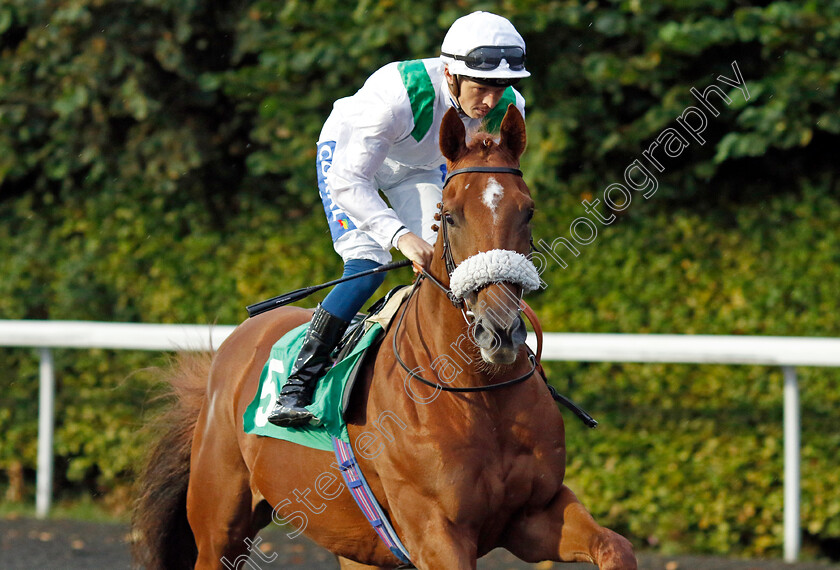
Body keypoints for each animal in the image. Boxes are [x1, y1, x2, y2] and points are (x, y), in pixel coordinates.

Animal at [133, 106, 636, 568]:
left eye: (527, 211)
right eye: (449, 216)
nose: (499, 331)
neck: (478, 393)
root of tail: (231, 349)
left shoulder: (536, 512)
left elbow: (616, 546)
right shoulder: (436, 532)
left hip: (356, 544)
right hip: (220, 525)